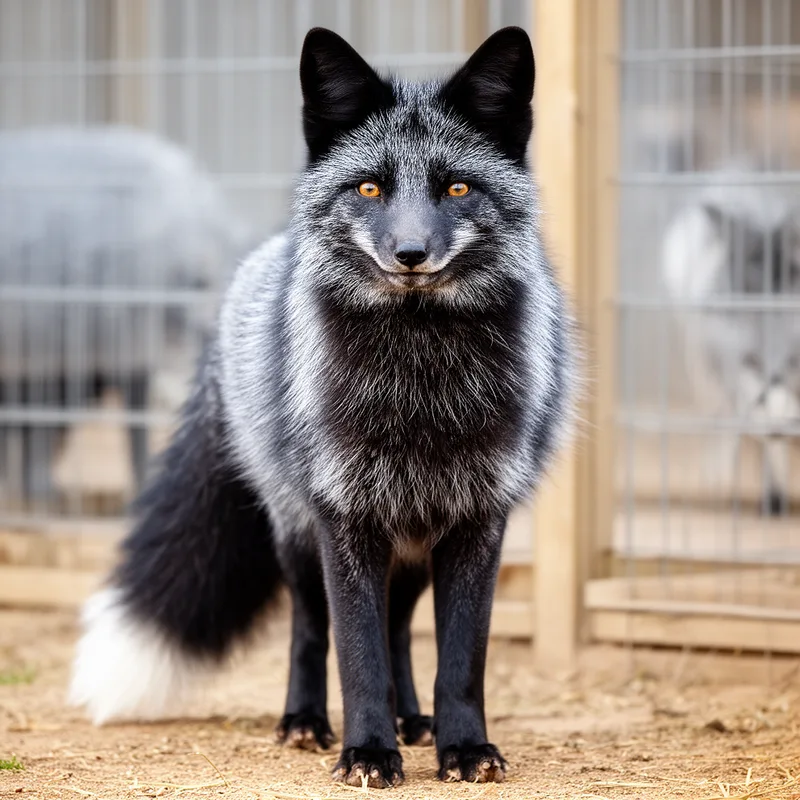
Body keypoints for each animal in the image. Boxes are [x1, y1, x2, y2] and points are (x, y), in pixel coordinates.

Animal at [69, 26, 574, 788]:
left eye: (457, 187)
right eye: (369, 187)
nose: (411, 253)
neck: (418, 387)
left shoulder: (479, 517)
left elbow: (461, 659)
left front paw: (463, 748)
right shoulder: (344, 515)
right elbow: (354, 653)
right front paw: (366, 751)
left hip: (412, 547)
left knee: (398, 628)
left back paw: (412, 720)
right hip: (297, 533)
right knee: (311, 630)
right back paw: (306, 721)